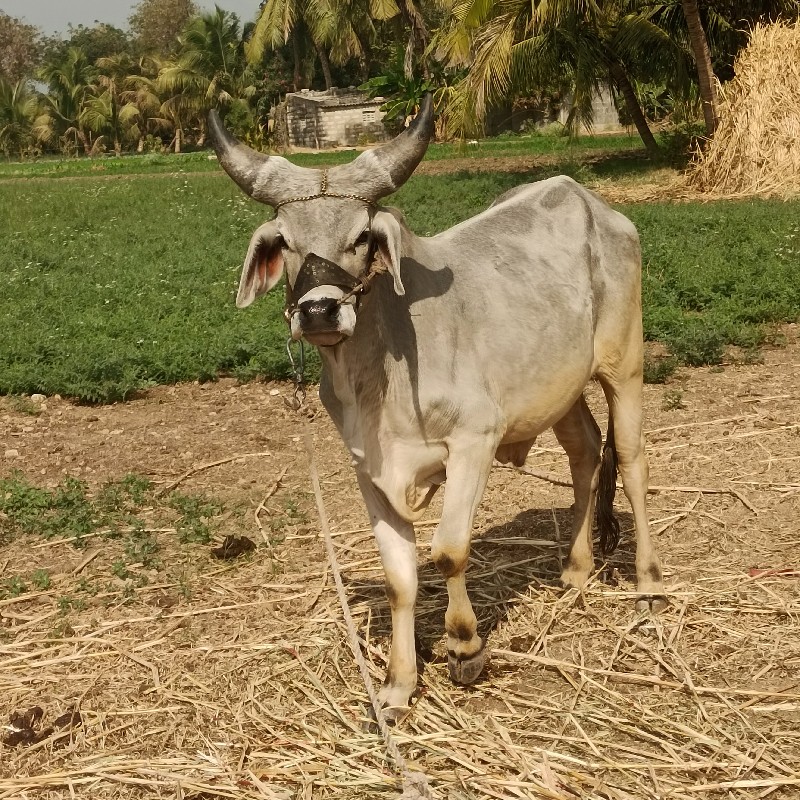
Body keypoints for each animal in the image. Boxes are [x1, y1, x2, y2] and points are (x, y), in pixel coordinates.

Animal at [211, 97, 664, 716]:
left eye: (361, 236)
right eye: (285, 240)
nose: (320, 312)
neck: (377, 374)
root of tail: (591, 203)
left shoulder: (474, 442)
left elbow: (449, 551)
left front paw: (465, 646)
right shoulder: (369, 471)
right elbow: (399, 577)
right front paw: (399, 683)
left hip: (625, 365)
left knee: (634, 462)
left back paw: (648, 584)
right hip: (557, 387)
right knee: (586, 450)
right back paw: (575, 569)